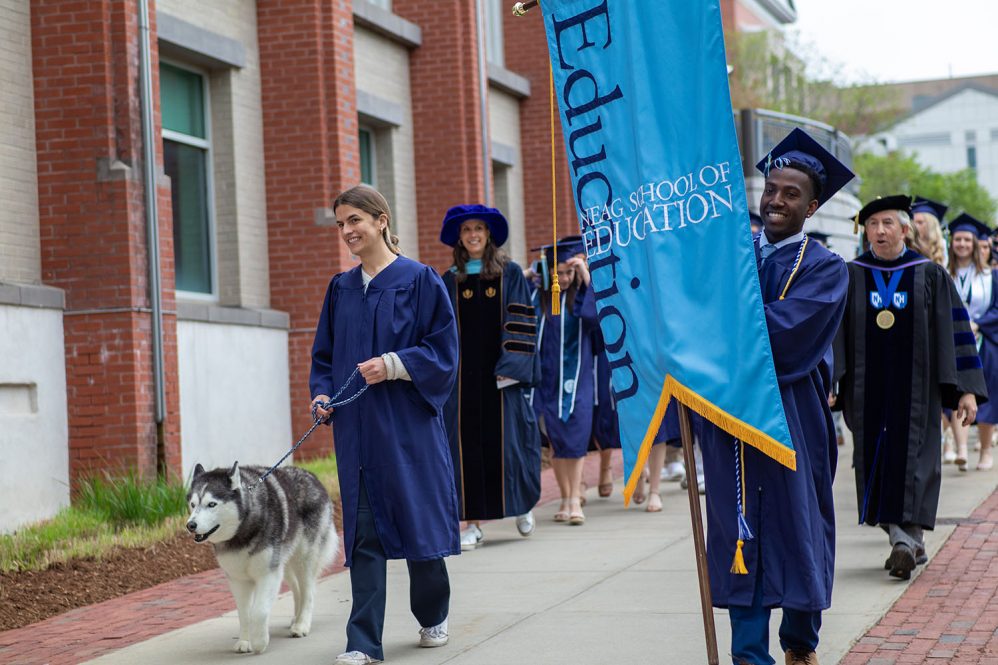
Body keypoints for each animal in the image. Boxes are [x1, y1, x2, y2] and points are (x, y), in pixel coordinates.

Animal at [188, 462, 340, 652]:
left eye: (211, 504)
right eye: (192, 504)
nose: (190, 525)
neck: (242, 532)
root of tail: (311, 475)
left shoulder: (268, 574)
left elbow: (259, 612)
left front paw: (259, 641)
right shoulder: (238, 580)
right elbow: (244, 613)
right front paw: (244, 641)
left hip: (304, 559)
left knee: (308, 591)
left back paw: (301, 625)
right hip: (285, 562)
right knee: (297, 588)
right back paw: (295, 619)